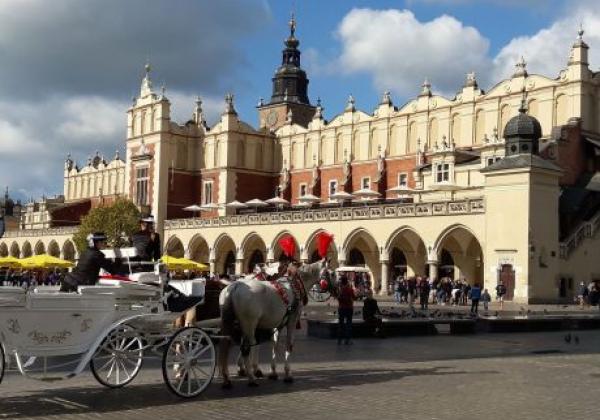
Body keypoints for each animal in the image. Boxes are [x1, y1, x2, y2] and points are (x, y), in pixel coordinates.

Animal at [219, 260, 326, 388]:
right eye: (330, 273)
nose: (322, 291)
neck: (295, 285)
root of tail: (235, 286)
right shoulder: (292, 320)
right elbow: (288, 345)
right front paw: (287, 374)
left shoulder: (278, 323)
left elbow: (274, 344)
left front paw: (272, 372)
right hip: (249, 323)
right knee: (245, 348)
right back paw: (251, 379)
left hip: (229, 322)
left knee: (226, 345)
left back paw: (227, 378)